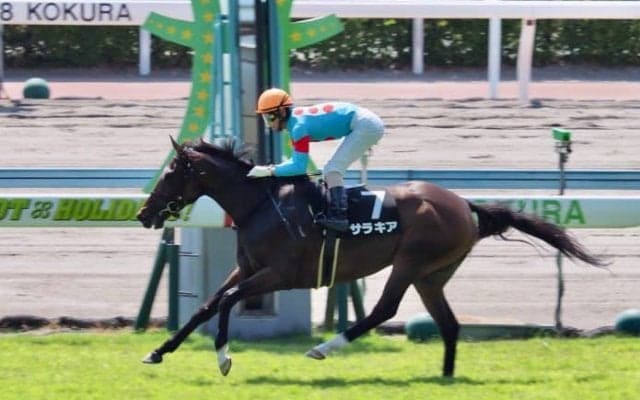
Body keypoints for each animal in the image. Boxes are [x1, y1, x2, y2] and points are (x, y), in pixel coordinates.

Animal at [136, 137, 605, 378]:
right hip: (432, 275)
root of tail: (465, 205)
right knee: (448, 324)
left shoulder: (281, 274)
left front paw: (224, 358)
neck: (261, 204)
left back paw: (323, 348)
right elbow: (206, 305)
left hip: (411, 261)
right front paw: (157, 352)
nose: (143, 213)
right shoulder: (248, 267)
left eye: (172, 172)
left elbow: (229, 303)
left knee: (385, 309)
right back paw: (445, 376)